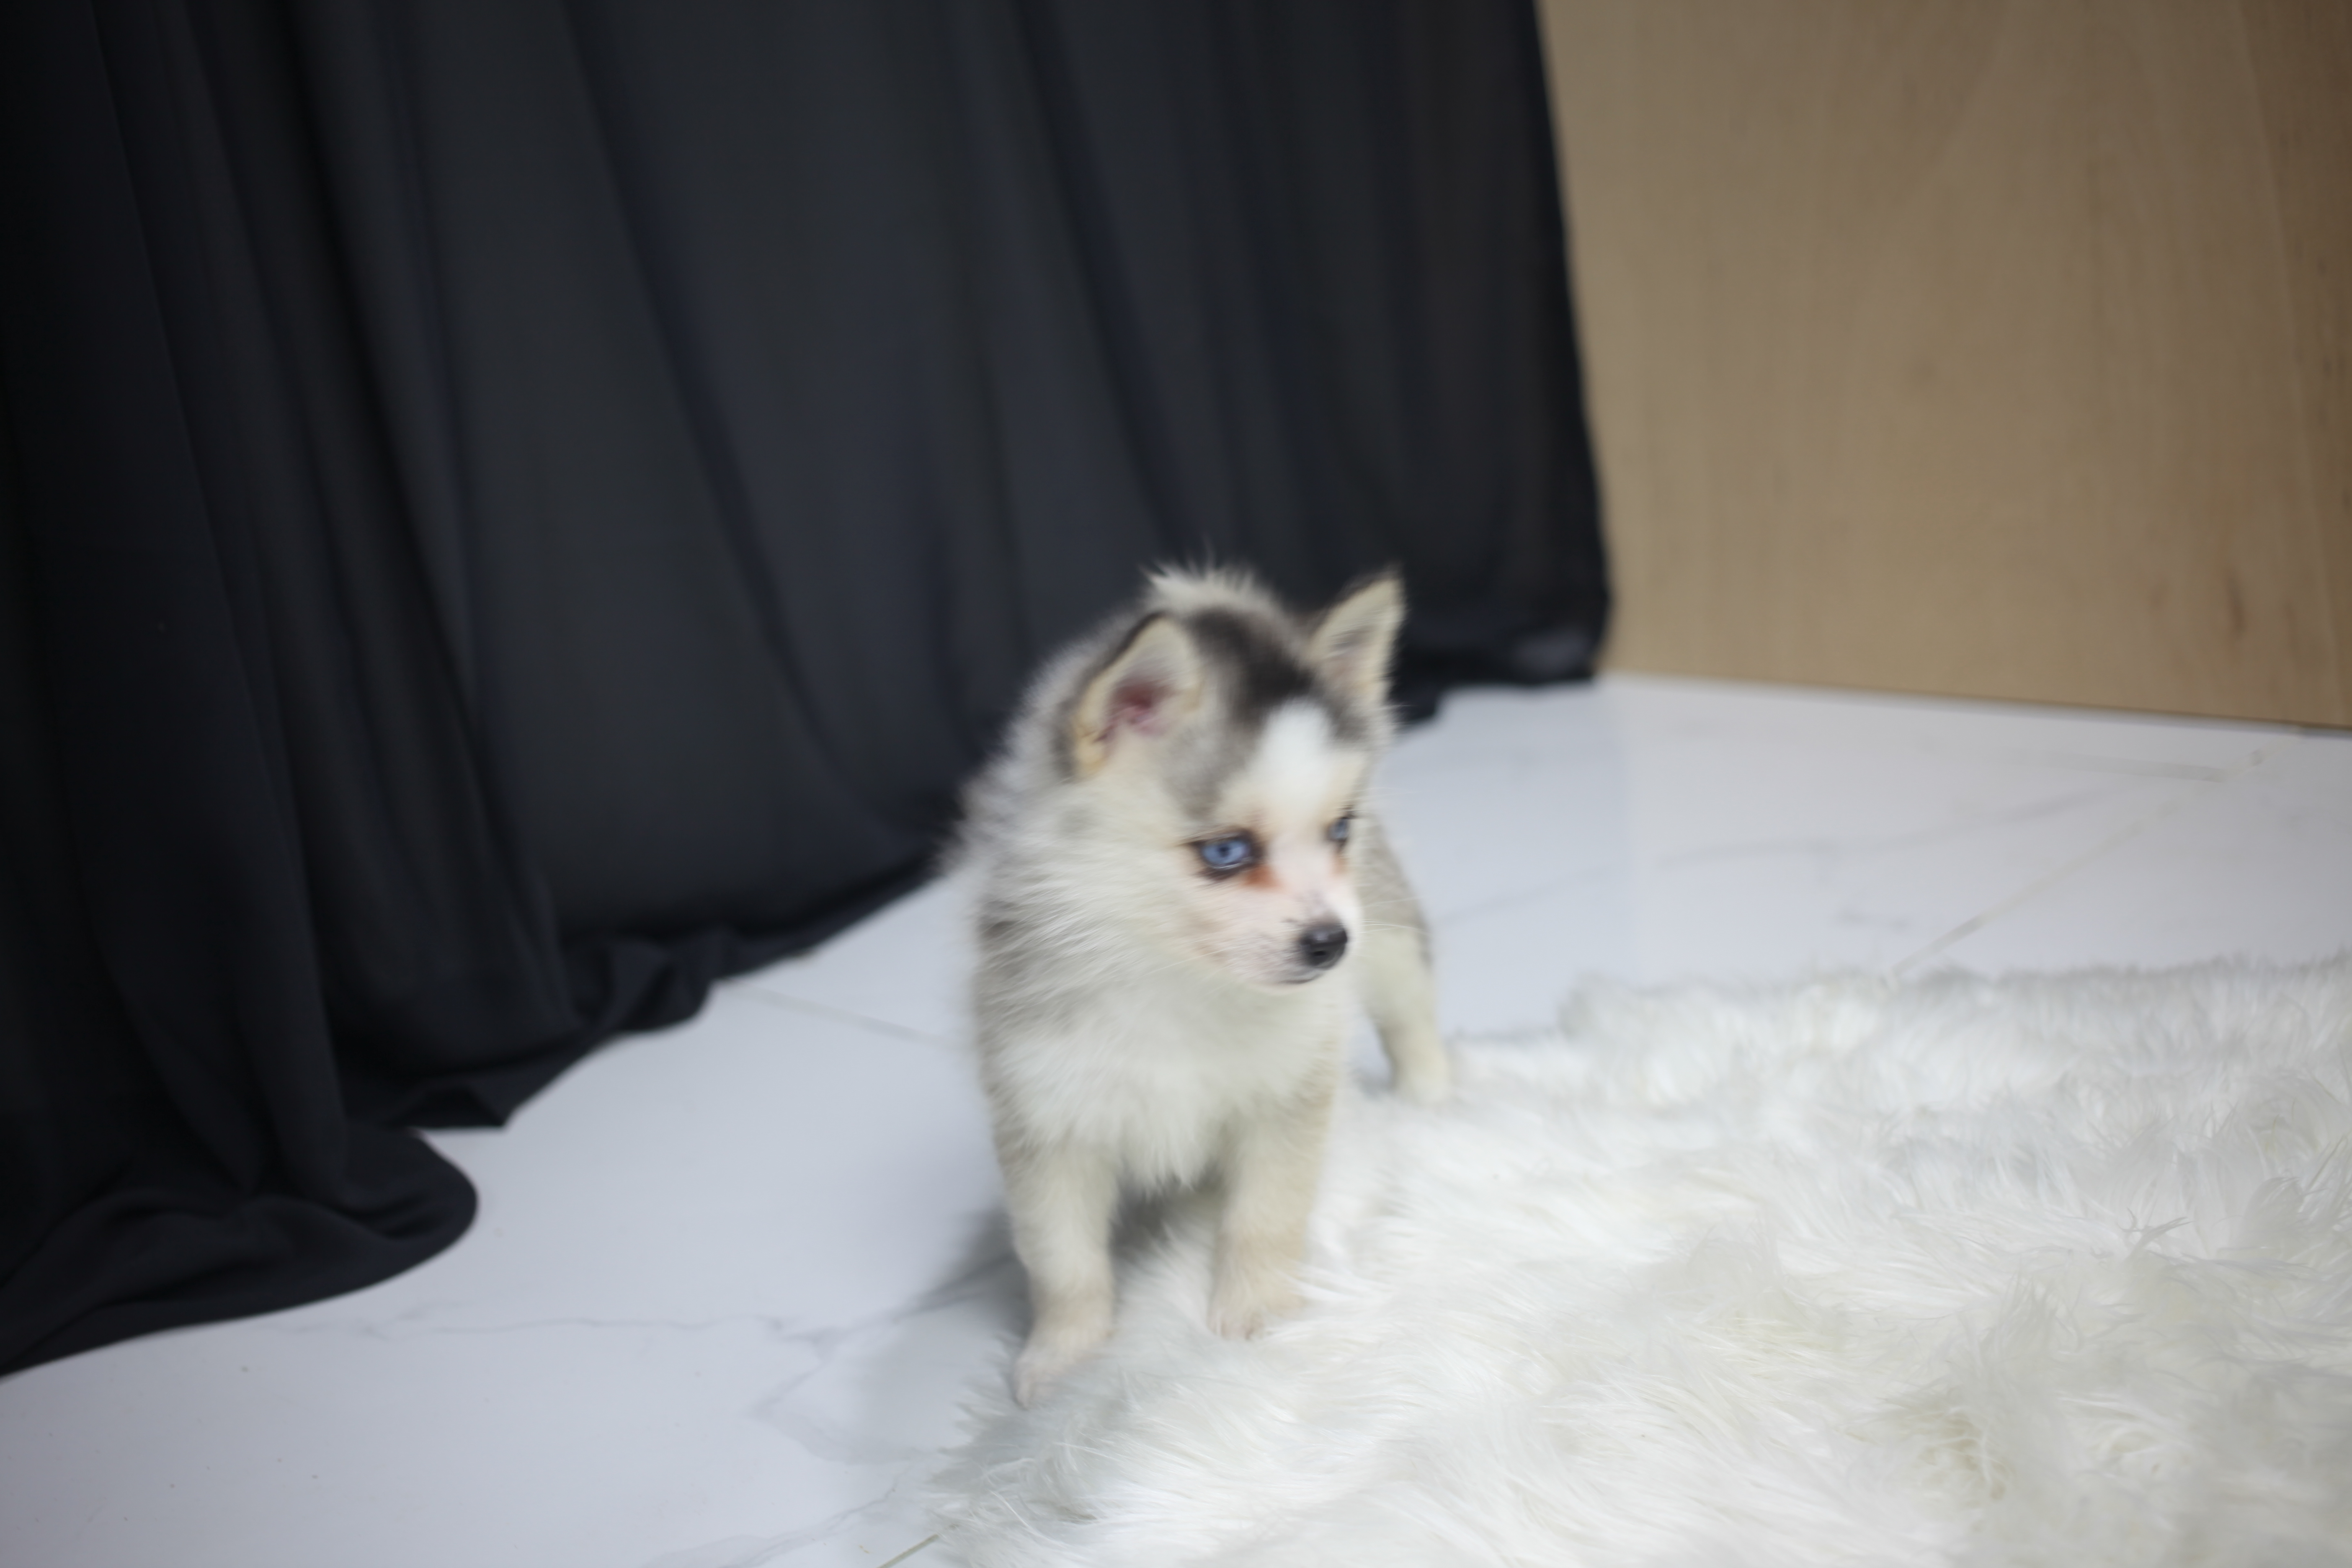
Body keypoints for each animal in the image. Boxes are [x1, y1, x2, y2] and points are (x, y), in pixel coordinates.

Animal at [958, 567, 1449, 1405]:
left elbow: (1264, 1218)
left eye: (1338, 829)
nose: (1330, 943)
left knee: (1412, 1017)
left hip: (1386, 937)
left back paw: (1435, 1100)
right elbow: (1062, 1261)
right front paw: (1066, 1359)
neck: (1174, 974)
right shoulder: (1048, 1118)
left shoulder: (1288, 1093)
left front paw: (1256, 1317)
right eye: (1226, 851)